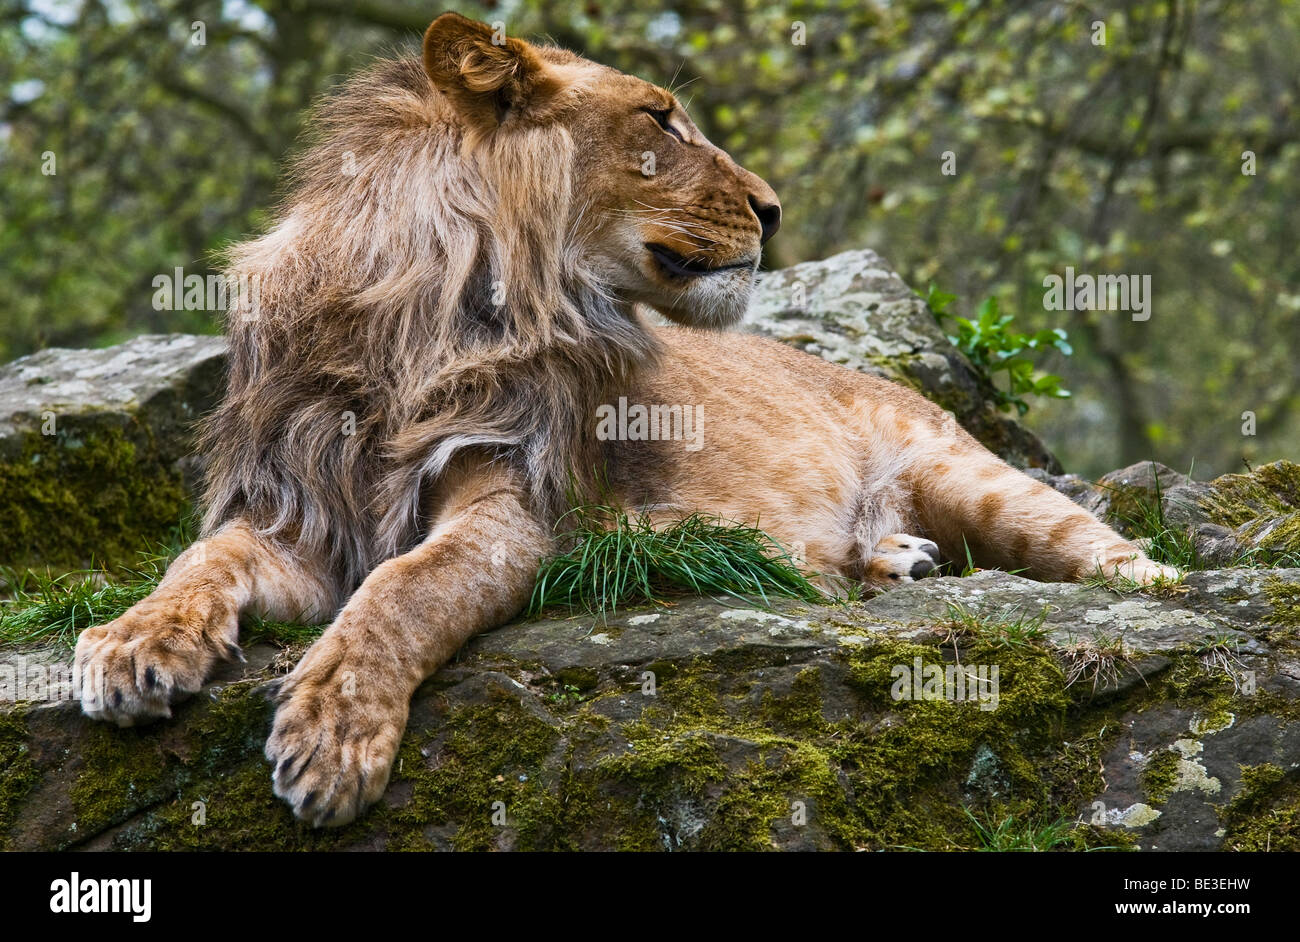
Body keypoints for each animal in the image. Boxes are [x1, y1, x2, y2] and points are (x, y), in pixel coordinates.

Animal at [76, 12, 1185, 821]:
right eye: (660, 120)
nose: (774, 210)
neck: (416, 321)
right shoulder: (300, 514)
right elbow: (200, 561)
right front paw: (130, 647)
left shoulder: (518, 505)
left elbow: (403, 592)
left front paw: (332, 731)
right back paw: (887, 560)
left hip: (975, 478)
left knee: (1115, 554)